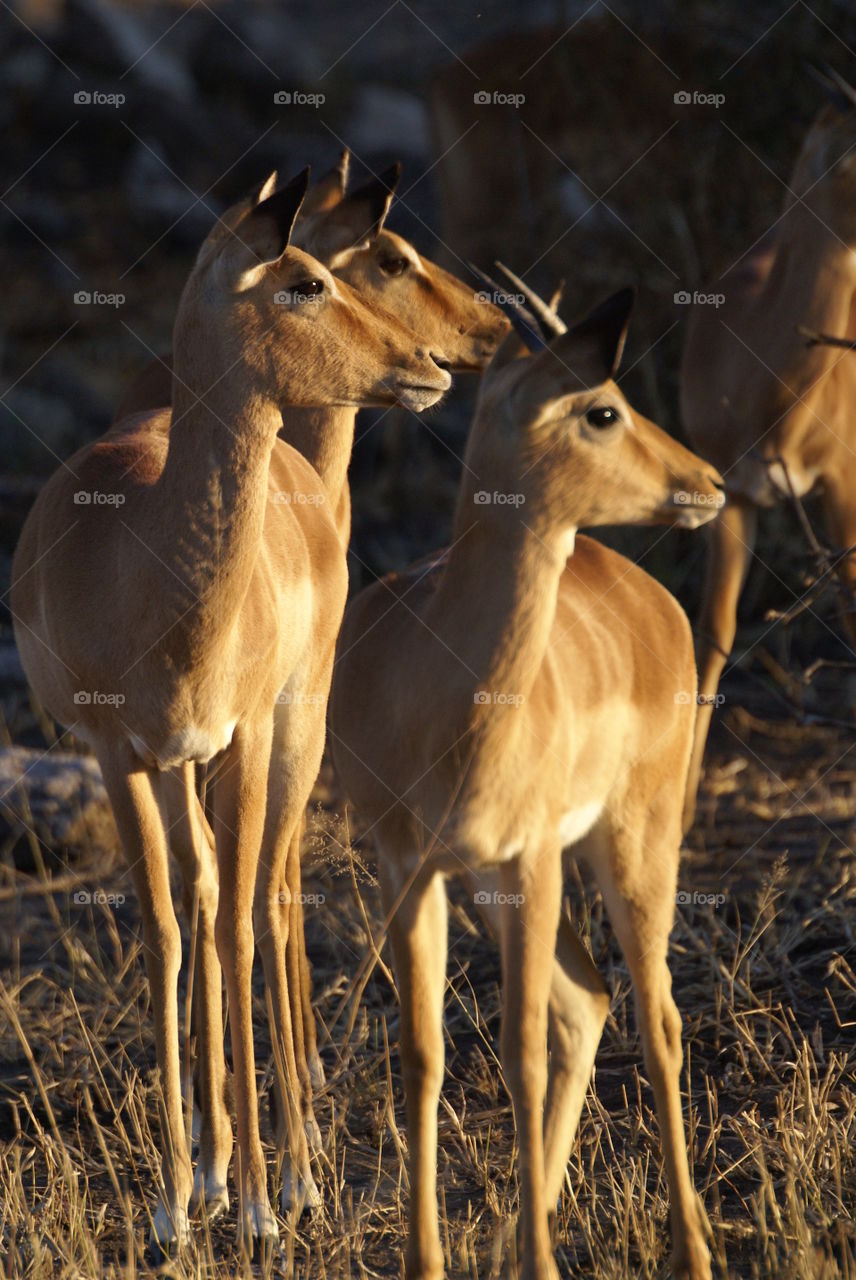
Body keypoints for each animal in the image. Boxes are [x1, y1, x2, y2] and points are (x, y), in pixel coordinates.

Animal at [10, 168, 451, 1250]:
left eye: (334, 267)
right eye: (302, 282)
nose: (427, 364)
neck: (144, 573)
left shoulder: (246, 734)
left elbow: (242, 928)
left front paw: (261, 1202)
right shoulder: (119, 750)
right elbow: (170, 930)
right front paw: (176, 1201)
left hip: (294, 728)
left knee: (267, 894)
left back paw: (292, 1171)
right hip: (186, 765)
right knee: (211, 892)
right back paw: (215, 1168)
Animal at [330, 274, 723, 1280]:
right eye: (602, 408)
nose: (708, 482)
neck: (447, 698)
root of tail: (650, 595)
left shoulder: (531, 856)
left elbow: (519, 1055)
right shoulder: (410, 869)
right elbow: (424, 1054)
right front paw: (428, 1261)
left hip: (629, 845)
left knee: (656, 1021)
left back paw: (689, 1249)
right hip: (494, 886)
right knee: (589, 1004)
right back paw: (516, 1240)